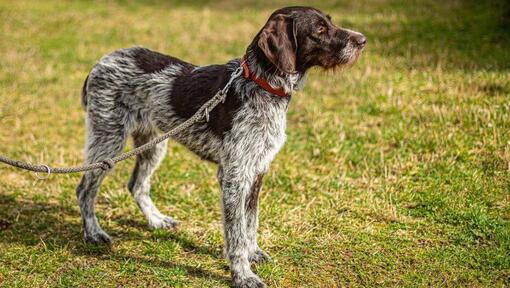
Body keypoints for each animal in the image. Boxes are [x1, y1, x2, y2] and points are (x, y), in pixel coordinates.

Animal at [75, 5, 364, 286]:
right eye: (319, 29)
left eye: (330, 21)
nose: (363, 40)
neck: (261, 83)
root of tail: (100, 63)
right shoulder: (234, 176)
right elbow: (236, 233)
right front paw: (243, 275)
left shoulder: (257, 171)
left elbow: (250, 223)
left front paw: (253, 253)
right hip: (108, 140)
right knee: (85, 190)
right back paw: (94, 233)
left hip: (153, 144)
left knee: (137, 185)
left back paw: (156, 220)